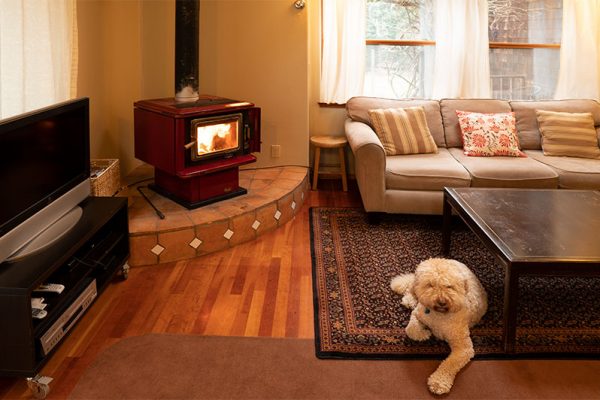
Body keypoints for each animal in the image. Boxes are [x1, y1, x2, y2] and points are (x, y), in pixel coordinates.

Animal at [390, 258, 488, 396]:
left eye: (450, 286)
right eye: (430, 285)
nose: (442, 302)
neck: (439, 315)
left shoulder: (464, 348)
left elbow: (450, 364)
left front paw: (438, 383)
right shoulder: (417, 313)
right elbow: (411, 329)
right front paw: (425, 334)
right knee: (412, 288)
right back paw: (410, 299)